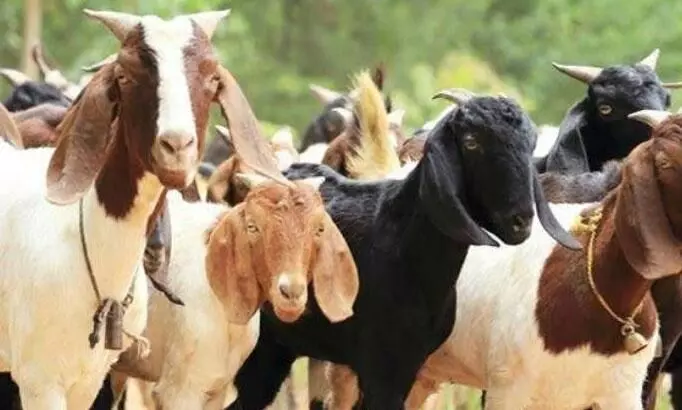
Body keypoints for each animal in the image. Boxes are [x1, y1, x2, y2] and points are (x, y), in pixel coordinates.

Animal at [226, 89, 580, 410]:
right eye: (471, 141)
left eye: (530, 145)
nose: (520, 221)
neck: (406, 245)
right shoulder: (380, 366)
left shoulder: (408, 364)